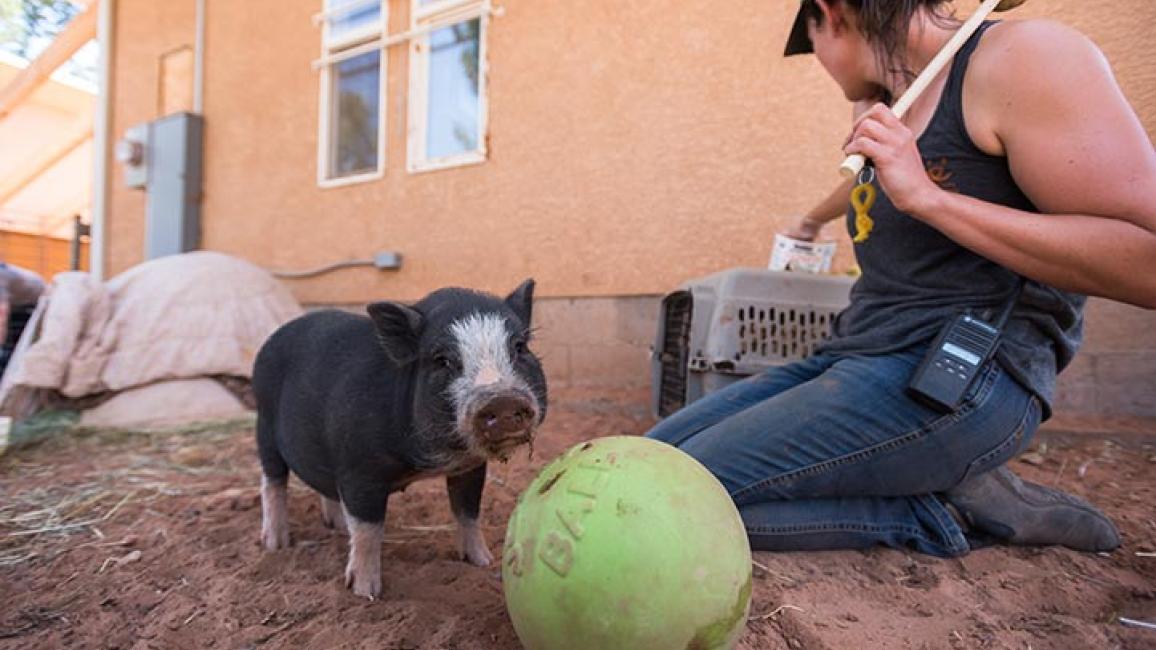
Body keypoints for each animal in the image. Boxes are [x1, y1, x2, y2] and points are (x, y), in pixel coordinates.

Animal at [252, 280, 547, 599]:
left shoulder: (470, 467)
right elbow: (368, 529)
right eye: (442, 360)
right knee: (272, 482)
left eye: (519, 347)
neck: (427, 460)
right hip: (264, 425)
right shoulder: (358, 469)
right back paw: (276, 544)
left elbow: (468, 511)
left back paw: (337, 527)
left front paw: (482, 562)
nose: (502, 400)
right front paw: (366, 592)